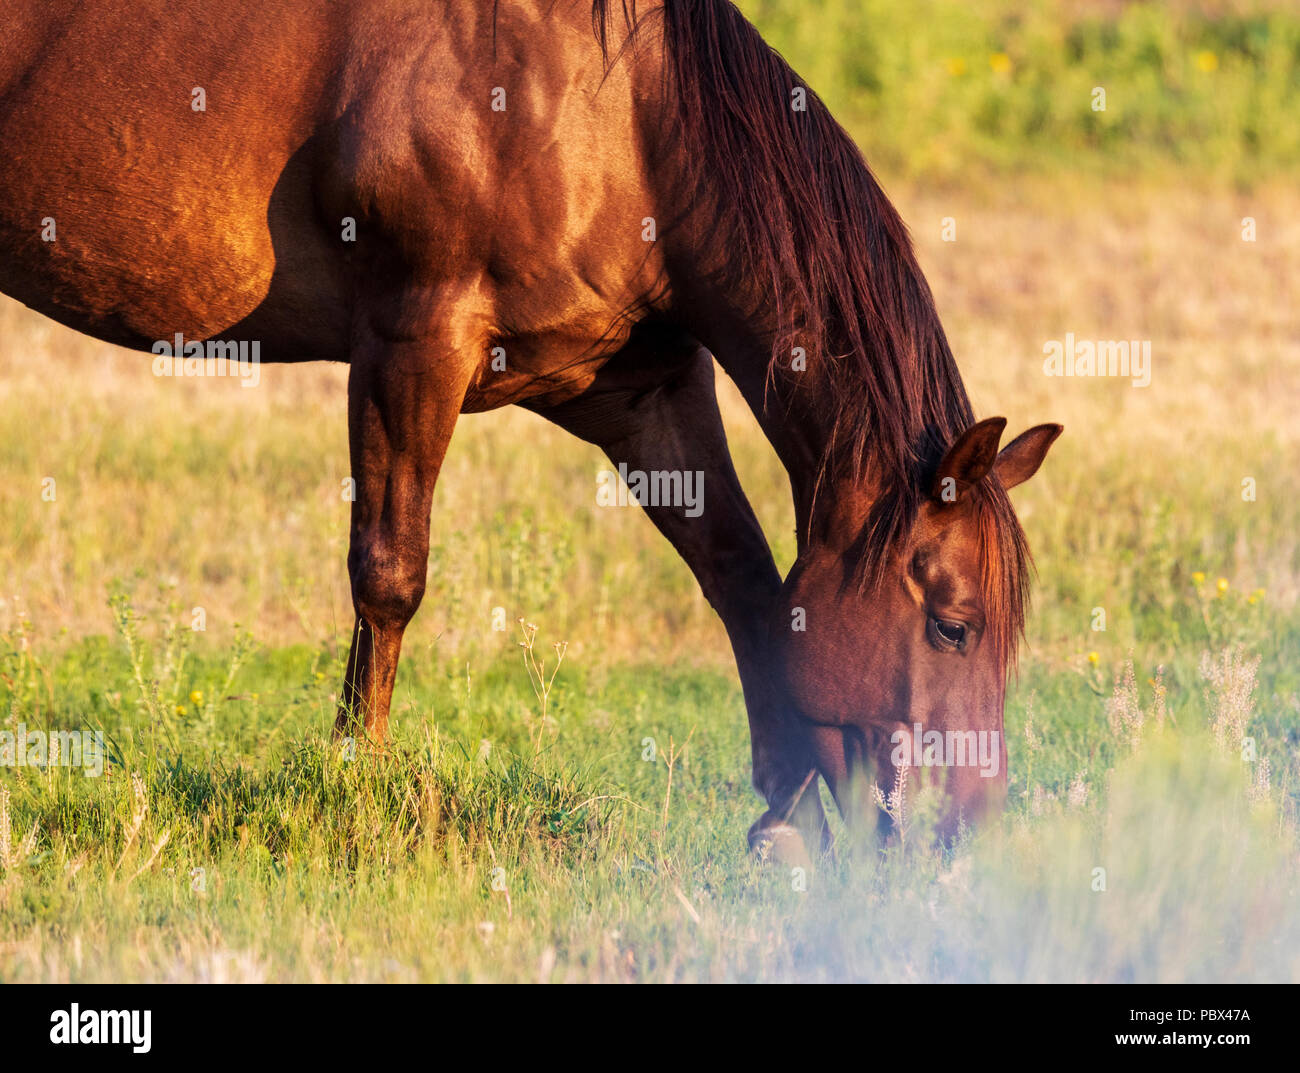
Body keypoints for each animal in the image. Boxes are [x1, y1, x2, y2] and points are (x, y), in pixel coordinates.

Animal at [0, 0, 1060, 864]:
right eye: (954, 626)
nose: (962, 839)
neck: (619, 114)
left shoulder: (642, 392)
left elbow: (746, 580)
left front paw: (785, 820)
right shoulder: (413, 343)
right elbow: (388, 575)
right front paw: (355, 788)